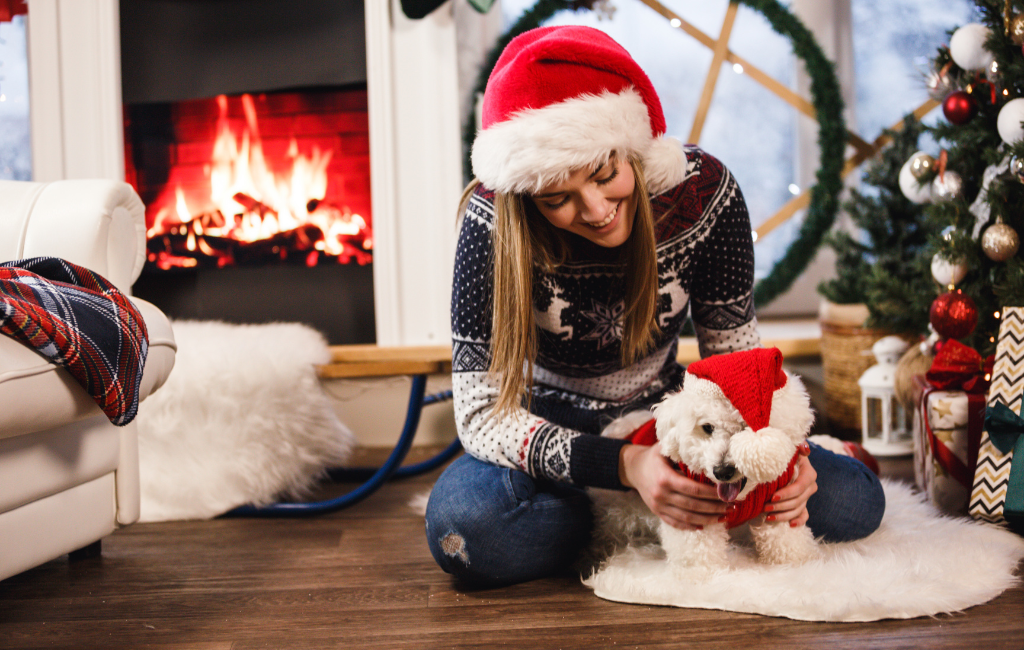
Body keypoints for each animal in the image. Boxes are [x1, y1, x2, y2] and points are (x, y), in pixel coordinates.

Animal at [589, 345, 819, 581]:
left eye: (745, 427)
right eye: (708, 427)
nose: (722, 471)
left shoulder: (780, 505)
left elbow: (784, 539)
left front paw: (796, 565)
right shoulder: (688, 513)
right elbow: (697, 553)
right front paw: (701, 577)